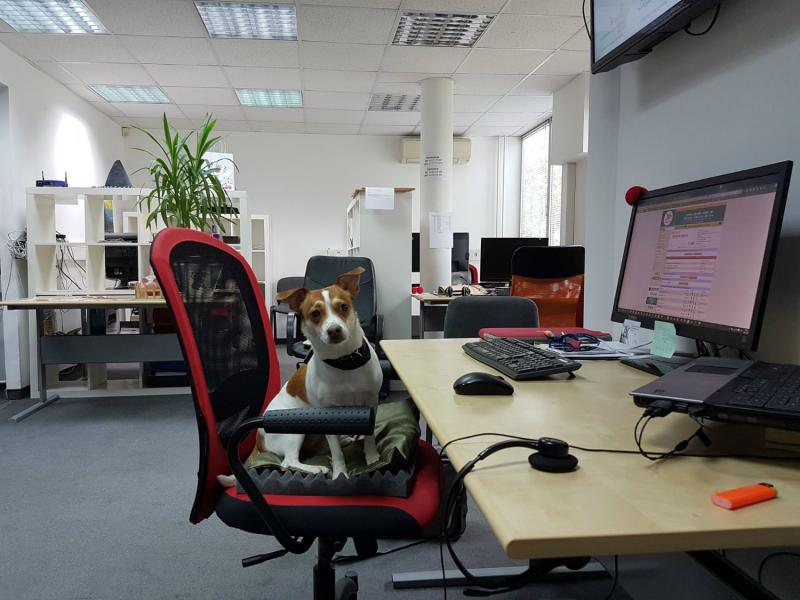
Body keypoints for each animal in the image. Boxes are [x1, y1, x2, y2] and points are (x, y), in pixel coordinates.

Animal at [218, 267, 382, 485]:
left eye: (343, 307)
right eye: (315, 313)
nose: (334, 330)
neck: (344, 362)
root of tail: (258, 441)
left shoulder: (372, 401)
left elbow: (370, 436)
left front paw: (371, 456)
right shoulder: (328, 414)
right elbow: (337, 453)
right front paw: (340, 473)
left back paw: (345, 439)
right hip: (295, 432)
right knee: (288, 462)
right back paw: (316, 468)